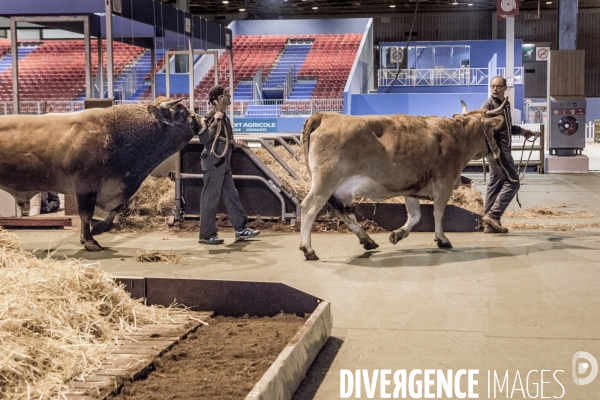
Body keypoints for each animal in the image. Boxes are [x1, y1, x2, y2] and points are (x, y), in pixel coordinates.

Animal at [0, 97, 206, 250]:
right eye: (182, 113)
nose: (203, 120)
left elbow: (116, 209)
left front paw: (99, 228)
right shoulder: (85, 186)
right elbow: (86, 214)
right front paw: (89, 241)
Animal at [300, 99, 506, 260]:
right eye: (493, 131)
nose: (497, 150)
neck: (457, 136)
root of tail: (325, 116)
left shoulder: (411, 187)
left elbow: (415, 215)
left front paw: (398, 234)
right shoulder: (444, 181)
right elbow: (438, 212)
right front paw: (442, 239)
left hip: (341, 189)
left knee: (345, 214)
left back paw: (368, 240)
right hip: (325, 182)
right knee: (308, 208)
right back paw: (308, 249)